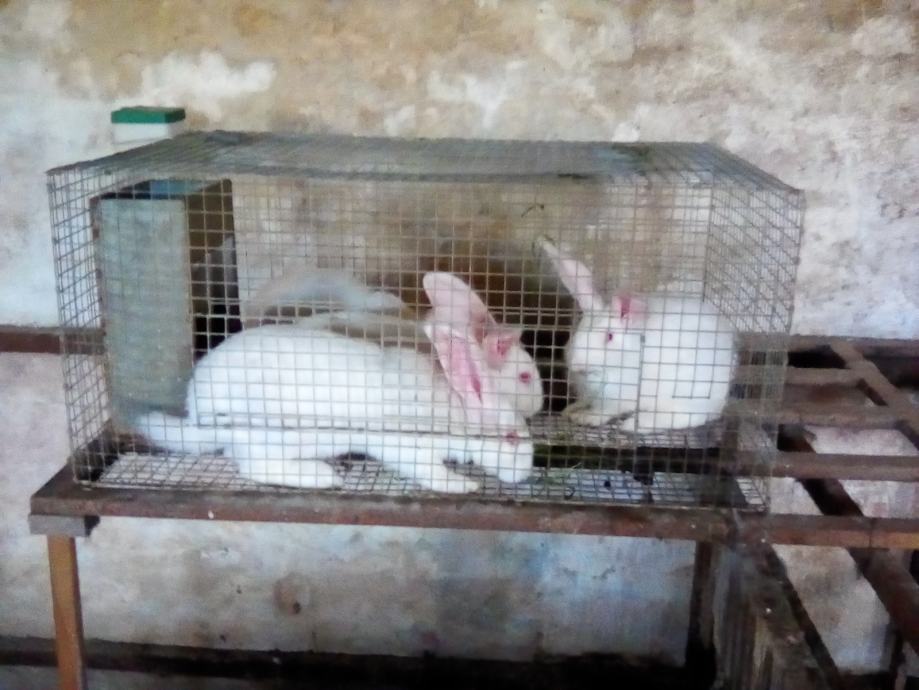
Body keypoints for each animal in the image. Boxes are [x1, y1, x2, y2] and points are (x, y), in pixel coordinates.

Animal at [133, 321, 534, 493]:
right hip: (265, 430)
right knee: (254, 467)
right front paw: (464, 485)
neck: (452, 411)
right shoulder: (405, 446)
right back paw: (321, 475)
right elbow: (429, 472)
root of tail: (197, 411)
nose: (526, 473)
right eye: (512, 438)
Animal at [539, 237, 736, 433]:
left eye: (609, 336)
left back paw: (632, 424)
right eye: (578, 330)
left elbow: (603, 412)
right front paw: (570, 409)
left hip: (686, 395)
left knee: (686, 418)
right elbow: (585, 402)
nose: (578, 365)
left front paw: (586, 418)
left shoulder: (618, 398)